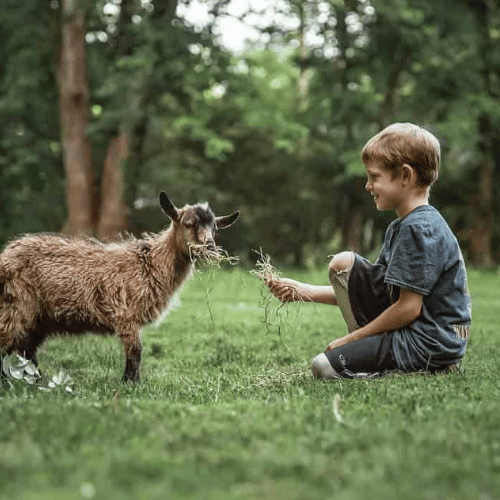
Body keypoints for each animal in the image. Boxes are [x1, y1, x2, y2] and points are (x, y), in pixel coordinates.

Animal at [0, 193, 239, 380]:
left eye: (215, 228)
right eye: (188, 224)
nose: (209, 245)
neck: (150, 264)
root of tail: (5, 256)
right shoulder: (125, 314)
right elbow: (135, 352)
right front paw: (130, 383)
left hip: (38, 319)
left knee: (27, 351)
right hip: (16, 307)